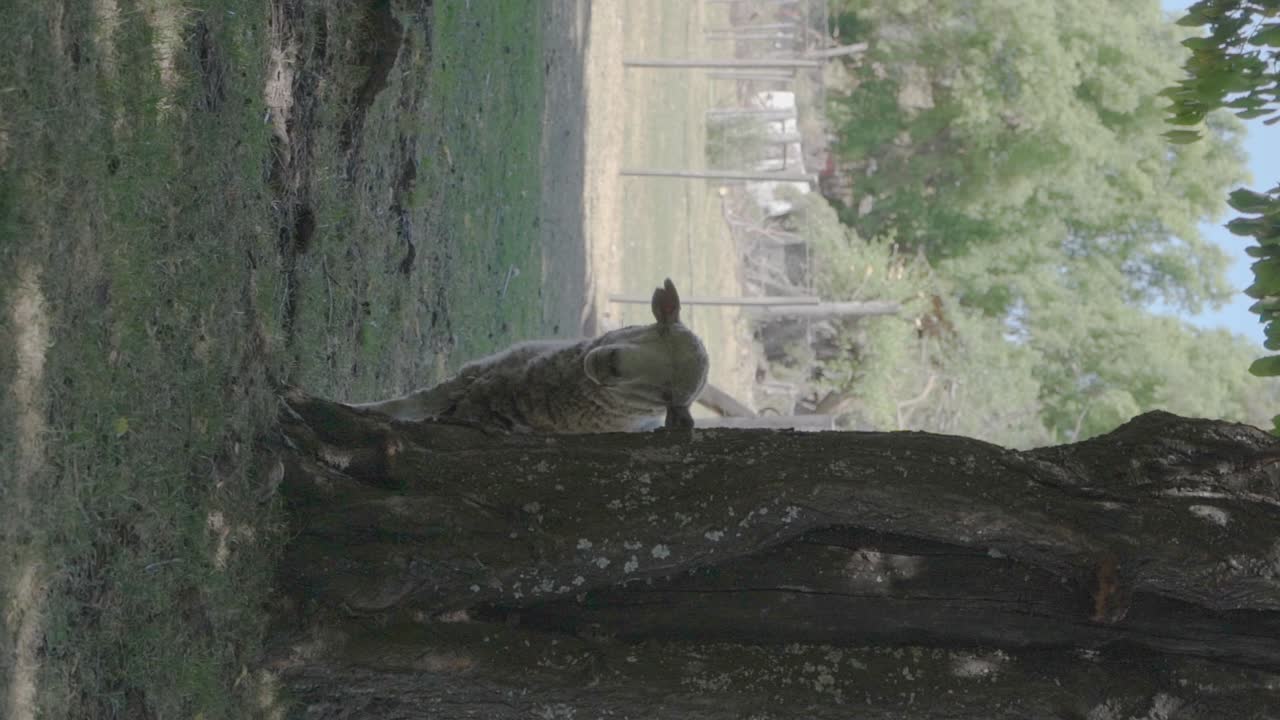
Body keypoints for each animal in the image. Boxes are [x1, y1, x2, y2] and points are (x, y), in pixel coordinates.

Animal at [346, 279, 710, 432]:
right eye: (660, 329)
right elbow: (400, 407)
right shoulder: (470, 378)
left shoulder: (478, 411)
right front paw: (354, 409)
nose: (612, 364)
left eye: (667, 397)